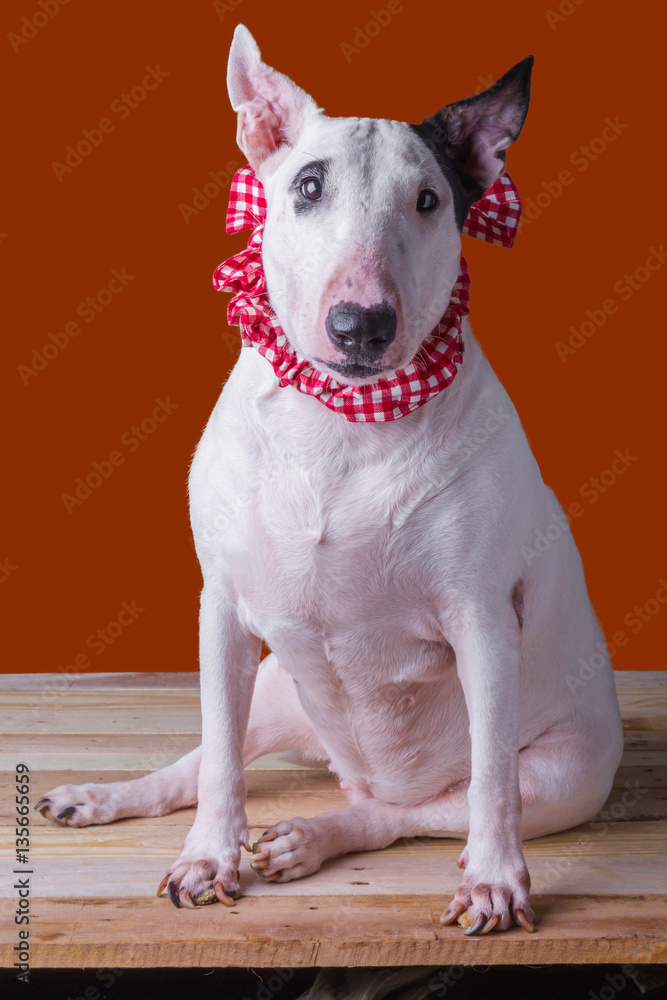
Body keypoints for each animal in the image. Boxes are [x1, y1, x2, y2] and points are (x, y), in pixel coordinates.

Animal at [35, 25, 620, 936]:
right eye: (307, 186)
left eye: (428, 200)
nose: (360, 325)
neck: (342, 421)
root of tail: (357, 768)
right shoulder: (221, 607)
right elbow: (219, 766)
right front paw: (205, 858)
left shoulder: (484, 620)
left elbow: (489, 785)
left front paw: (494, 882)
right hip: (277, 685)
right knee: (207, 758)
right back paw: (103, 797)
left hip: (566, 774)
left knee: (414, 811)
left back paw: (314, 836)